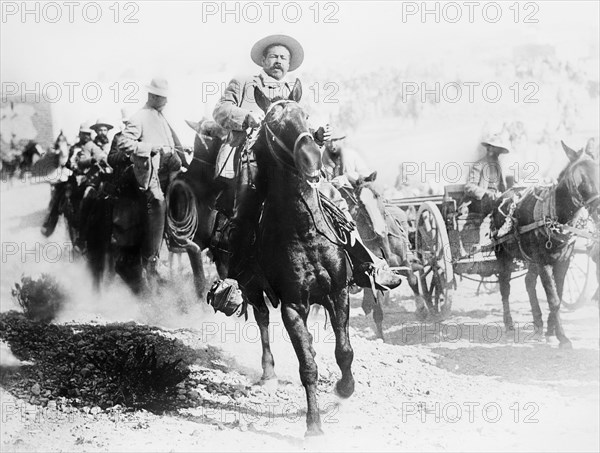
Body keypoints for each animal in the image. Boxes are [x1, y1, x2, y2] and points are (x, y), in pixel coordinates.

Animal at [338, 175, 426, 338]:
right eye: (360, 202)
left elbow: (412, 280)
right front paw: (380, 337)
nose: (380, 229)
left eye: (377, 194)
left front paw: (421, 309)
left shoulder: (404, 261)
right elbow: (377, 308)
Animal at [494, 141, 596, 346]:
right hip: (503, 255)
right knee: (505, 287)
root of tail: (505, 193)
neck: (554, 216)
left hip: (530, 259)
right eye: (580, 180)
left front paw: (551, 330)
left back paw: (538, 324)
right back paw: (509, 324)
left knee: (528, 282)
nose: (597, 209)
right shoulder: (544, 263)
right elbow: (553, 298)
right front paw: (563, 337)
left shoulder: (563, 262)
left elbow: (559, 293)